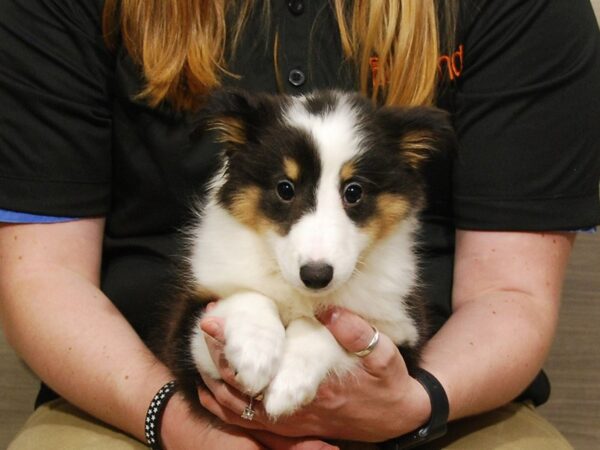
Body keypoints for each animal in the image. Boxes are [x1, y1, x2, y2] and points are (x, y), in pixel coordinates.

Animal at [159, 89, 454, 420]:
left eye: (354, 191)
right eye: (285, 188)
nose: (316, 276)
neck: (300, 294)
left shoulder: (404, 334)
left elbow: (324, 326)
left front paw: (287, 385)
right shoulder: (186, 342)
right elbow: (248, 296)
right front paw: (255, 357)